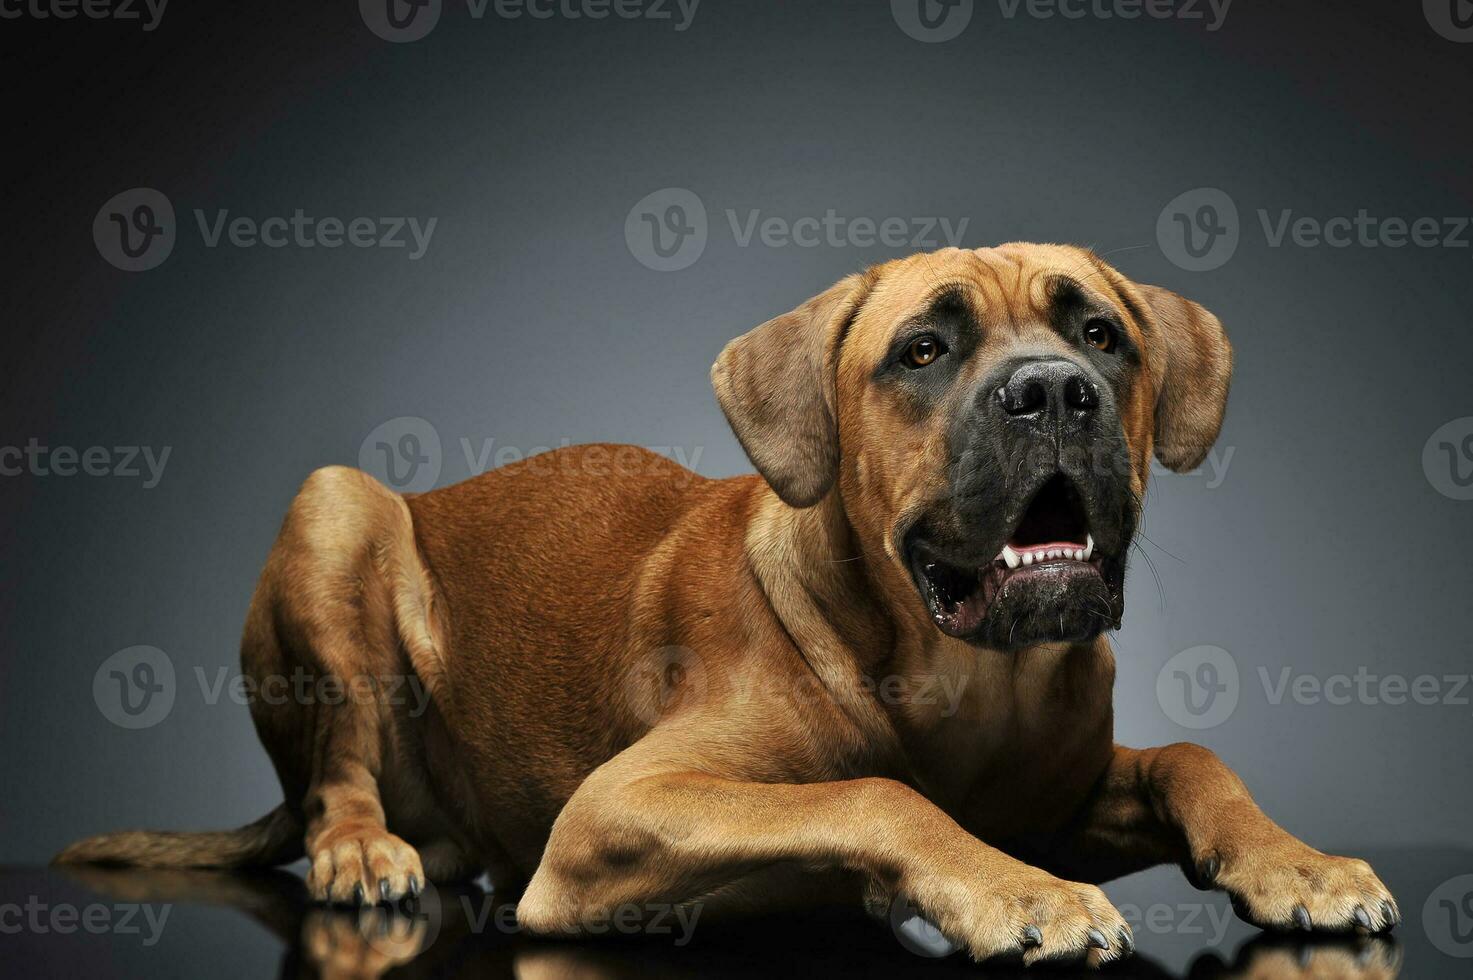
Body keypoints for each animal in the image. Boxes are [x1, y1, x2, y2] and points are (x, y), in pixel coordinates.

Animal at [57, 244, 1390, 960]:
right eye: (922, 350)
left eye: (1102, 332)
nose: (1055, 390)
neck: (970, 679)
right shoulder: (618, 810)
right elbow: (877, 792)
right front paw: (1013, 891)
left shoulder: (1065, 792)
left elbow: (1193, 759)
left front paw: (1297, 863)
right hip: (336, 509)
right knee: (338, 776)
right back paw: (362, 847)